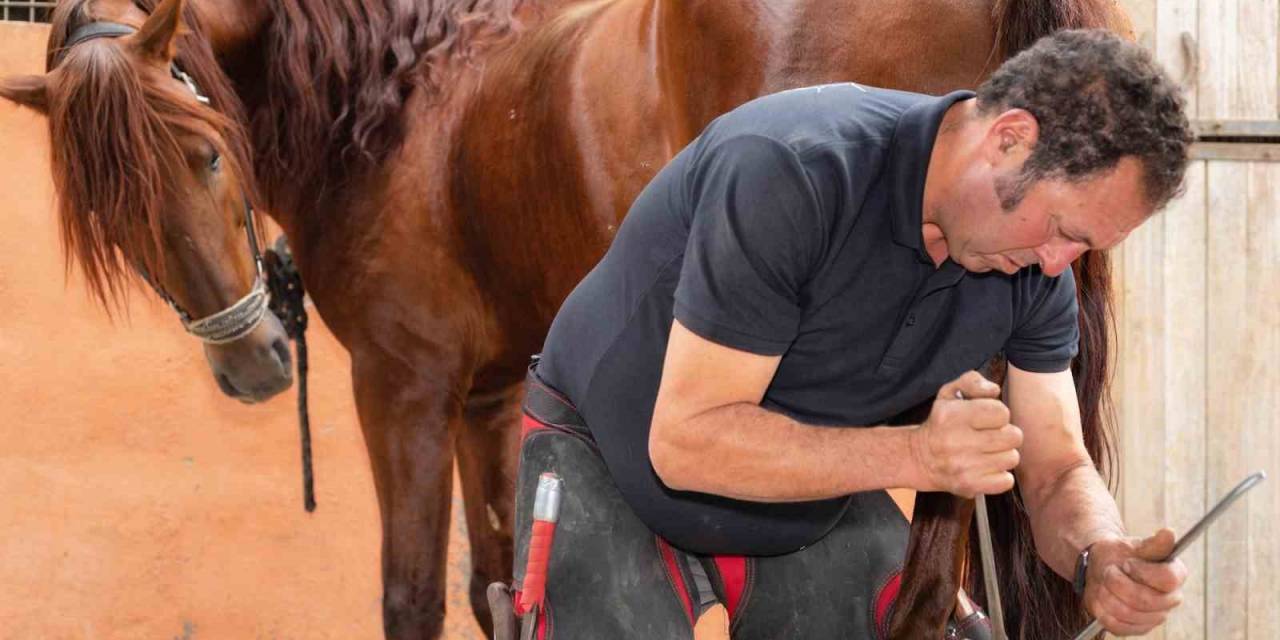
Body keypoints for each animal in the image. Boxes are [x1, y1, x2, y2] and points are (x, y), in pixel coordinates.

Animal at [5, 0, 1136, 637]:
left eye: (205, 153)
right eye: (106, 217)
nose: (250, 366)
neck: (402, 102)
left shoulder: (403, 389)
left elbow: (412, 597)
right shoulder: (491, 396)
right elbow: (498, 584)